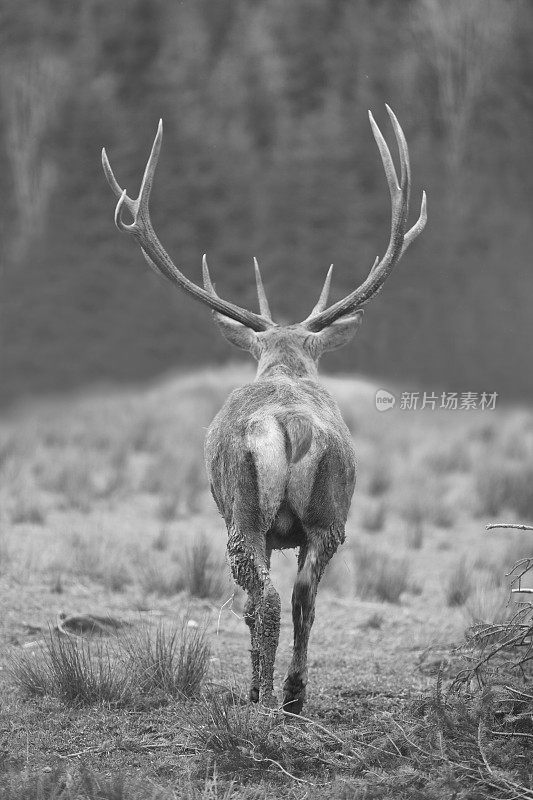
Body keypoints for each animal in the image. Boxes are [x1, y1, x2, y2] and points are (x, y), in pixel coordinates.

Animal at [103, 104, 428, 712]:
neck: (284, 366)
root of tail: (289, 424)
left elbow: (251, 608)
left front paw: (255, 687)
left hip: (243, 512)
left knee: (266, 600)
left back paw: (258, 694)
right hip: (330, 514)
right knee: (304, 596)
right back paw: (294, 695)